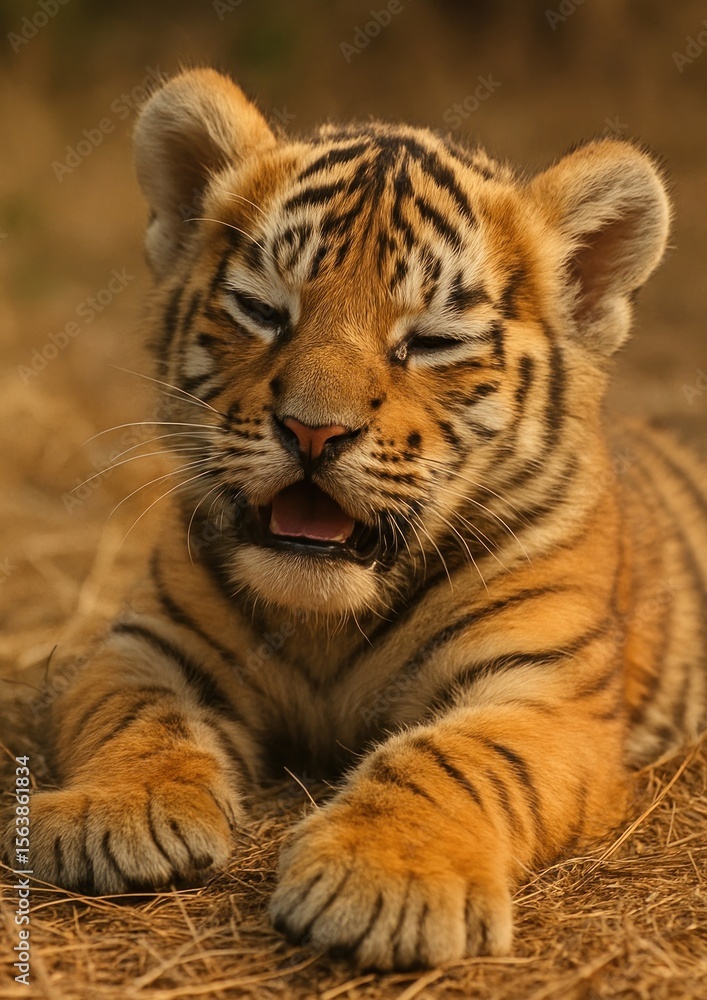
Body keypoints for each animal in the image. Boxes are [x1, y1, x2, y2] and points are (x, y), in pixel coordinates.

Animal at [8, 67, 707, 971]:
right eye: (262, 310)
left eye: (432, 341)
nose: (313, 431)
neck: (325, 625)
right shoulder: (151, 644)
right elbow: (138, 719)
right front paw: (113, 814)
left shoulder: (545, 694)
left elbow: (453, 755)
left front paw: (385, 878)